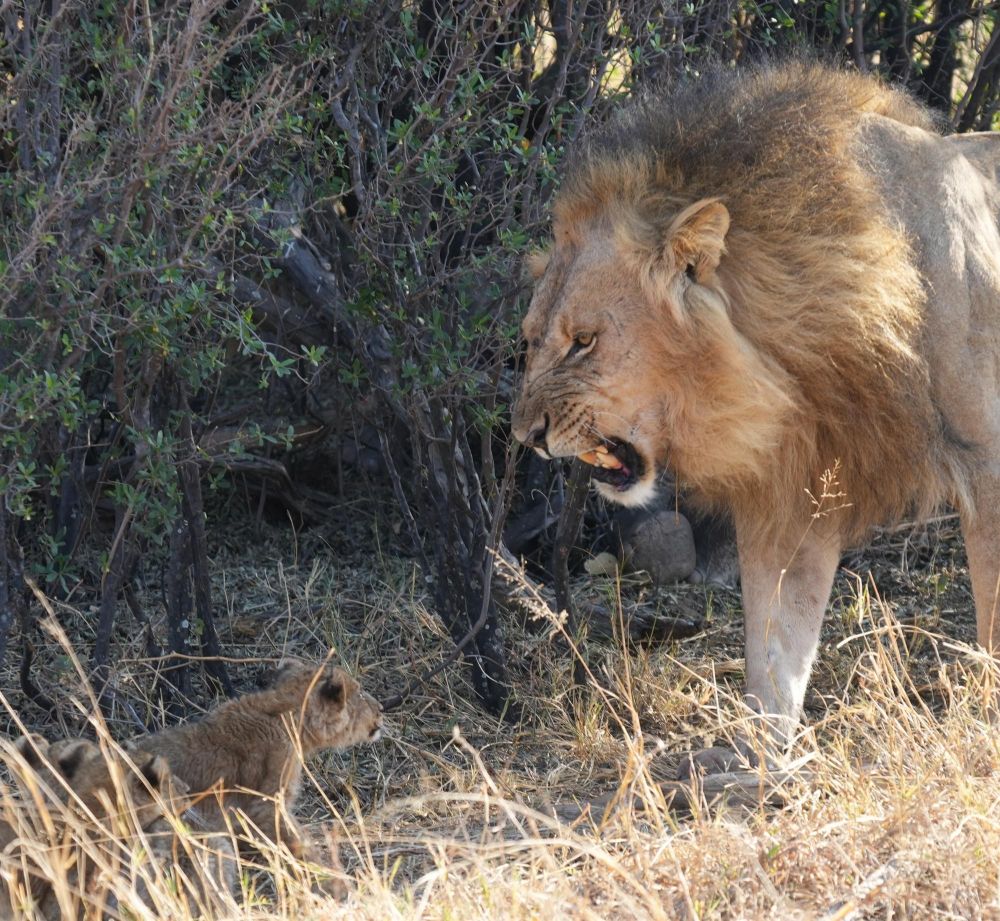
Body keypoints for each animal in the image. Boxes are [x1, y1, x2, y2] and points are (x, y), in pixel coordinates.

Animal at [512, 59, 1000, 776]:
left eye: (584, 341)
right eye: (532, 338)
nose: (528, 434)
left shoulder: (988, 471)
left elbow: (993, 615)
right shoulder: (795, 493)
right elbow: (775, 642)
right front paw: (758, 763)